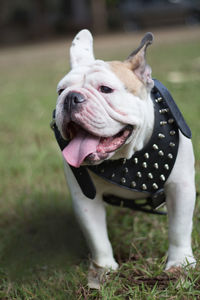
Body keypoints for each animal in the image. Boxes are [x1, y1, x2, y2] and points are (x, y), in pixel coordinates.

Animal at [54, 29, 196, 286]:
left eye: (105, 89)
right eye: (61, 91)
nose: (70, 97)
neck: (124, 158)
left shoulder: (181, 188)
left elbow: (179, 228)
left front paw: (180, 264)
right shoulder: (85, 200)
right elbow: (97, 235)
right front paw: (103, 270)